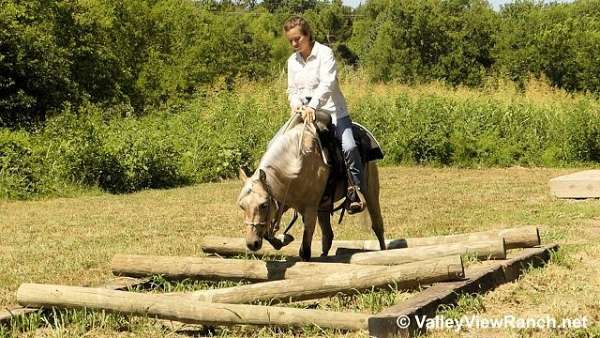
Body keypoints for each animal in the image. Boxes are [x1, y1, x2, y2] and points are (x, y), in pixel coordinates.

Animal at [237, 116, 386, 262]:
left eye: (264, 205)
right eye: (242, 206)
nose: (252, 243)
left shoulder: (310, 210)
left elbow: (305, 251)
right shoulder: (282, 201)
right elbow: (269, 234)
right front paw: (284, 239)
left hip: (370, 191)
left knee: (378, 226)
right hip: (324, 205)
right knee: (328, 236)